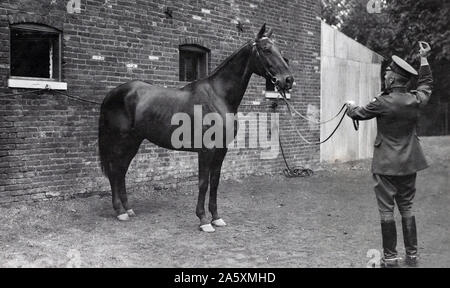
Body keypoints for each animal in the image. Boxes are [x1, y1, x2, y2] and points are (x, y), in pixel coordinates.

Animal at [98, 24, 294, 232]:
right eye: (266, 49)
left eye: (279, 50)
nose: (288, 80)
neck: (218, 96)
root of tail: (112, 93)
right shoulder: (206, 150)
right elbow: (203, 182)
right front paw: (203, 220)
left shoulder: (221, 150)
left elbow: (215, 182)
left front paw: (216, 217)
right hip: (122, 141)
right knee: (115, 170)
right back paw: (120, 211)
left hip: (134, 141)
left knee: (121, 171)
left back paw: (127, 209)